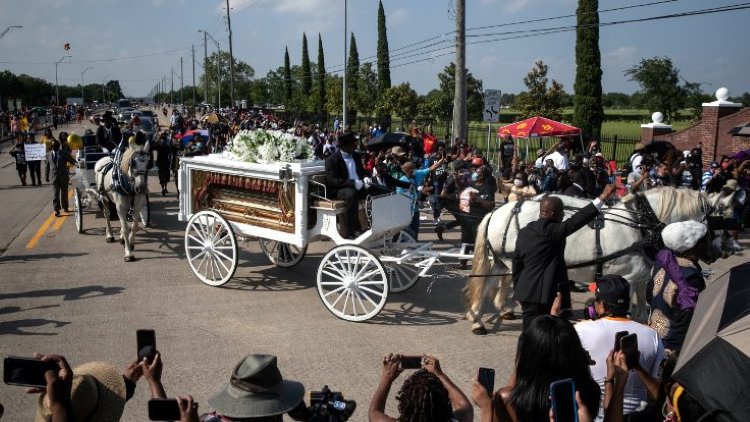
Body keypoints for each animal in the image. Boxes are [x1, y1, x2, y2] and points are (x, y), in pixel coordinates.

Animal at [468, 186, 720, 334]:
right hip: (511, 262)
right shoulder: (626, 276)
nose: (717, 252)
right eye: (717, 217)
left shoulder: (639, 277)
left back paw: (479, 316)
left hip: (501, 261)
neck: (639, 227)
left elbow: (640, 313)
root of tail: (498, 211)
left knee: (488, 283)